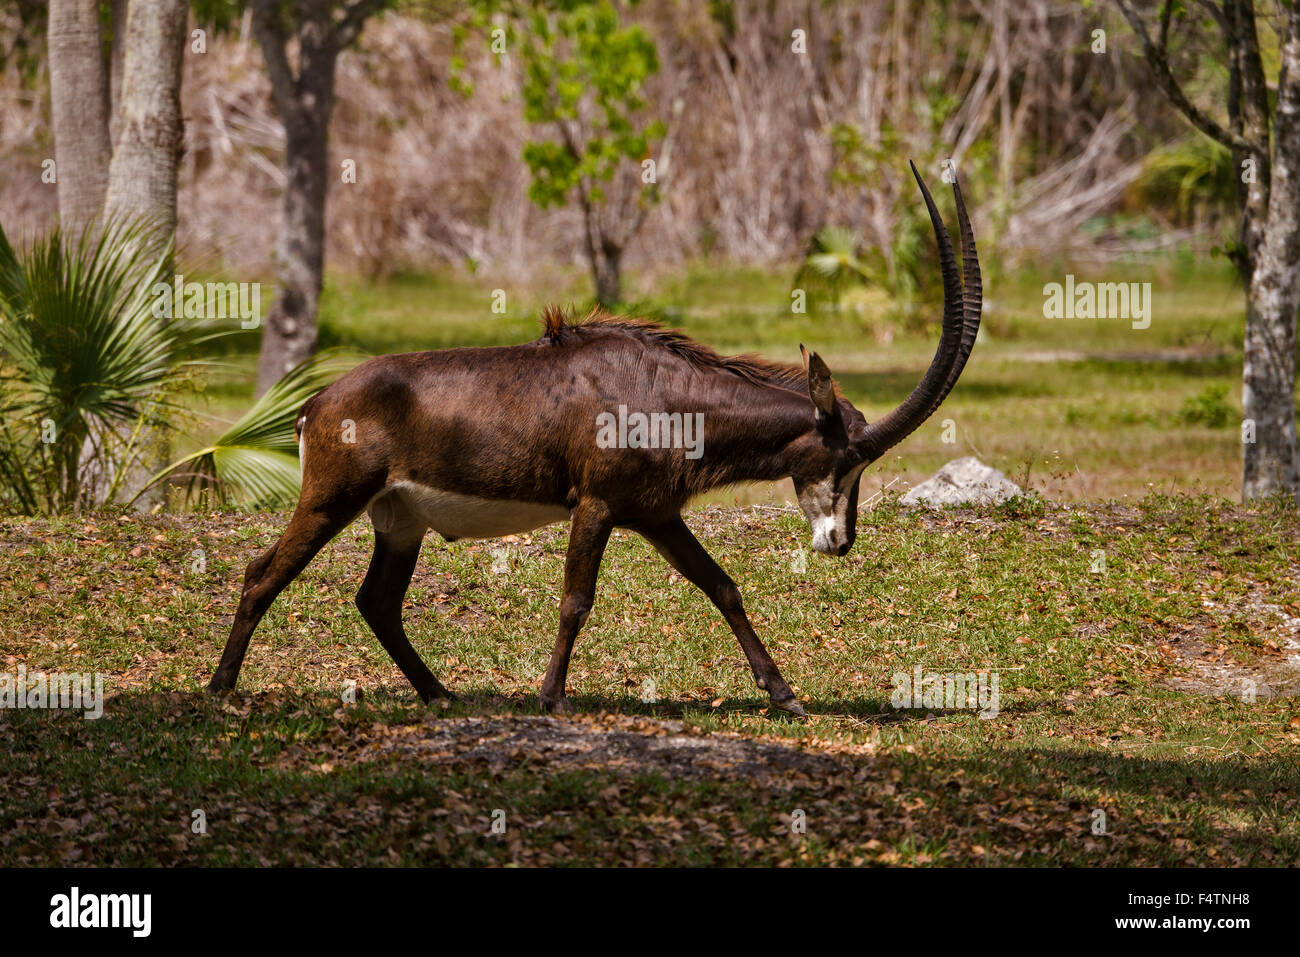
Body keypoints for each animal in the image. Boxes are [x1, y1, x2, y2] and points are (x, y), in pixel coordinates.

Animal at [208, 164, 977, 712]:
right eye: (846, 456)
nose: (840, 541)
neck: (666, 393)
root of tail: (318, 403)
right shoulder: (597, 506)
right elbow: (576, 600)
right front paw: (550, 699)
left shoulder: (656, 514)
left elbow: (722, 585)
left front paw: (784, 695)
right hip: (330, 501)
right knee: (262, 573)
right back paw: (220, 691)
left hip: (400, 520)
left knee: (377, 602)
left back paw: (440, 694)